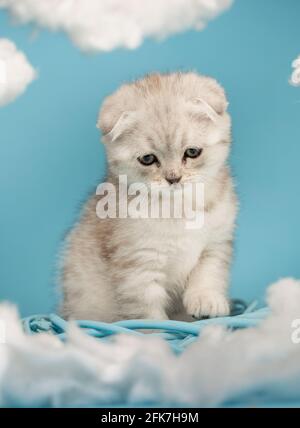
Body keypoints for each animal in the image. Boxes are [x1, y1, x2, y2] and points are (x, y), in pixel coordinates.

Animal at [61, 72, 238, 320]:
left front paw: (207, 299)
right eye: (147, 159)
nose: (174, 178)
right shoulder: (137, 264)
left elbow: (209, 273)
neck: (179, 209)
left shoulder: (216, 244)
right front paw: (156, 328)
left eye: (192, 152)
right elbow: (146, 309)